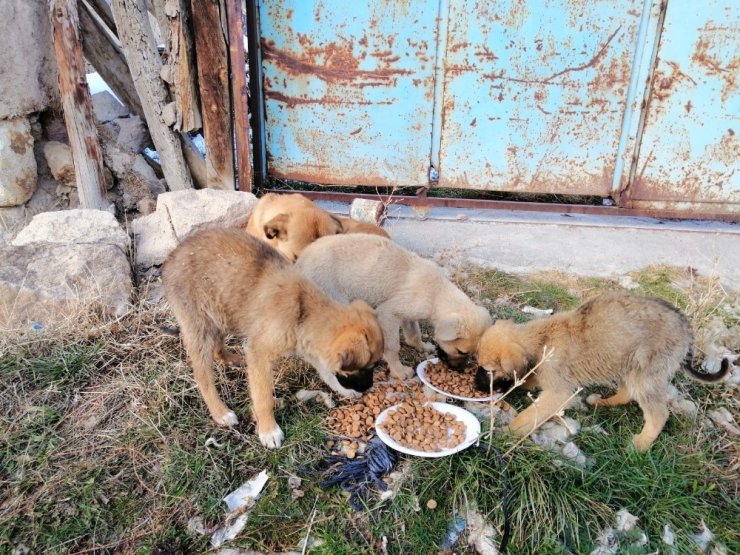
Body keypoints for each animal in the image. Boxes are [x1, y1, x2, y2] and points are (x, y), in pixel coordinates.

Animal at [161, 228, 382, 450]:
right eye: (368, 366)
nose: (369, 388)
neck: (303, 312)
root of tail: (172, 255)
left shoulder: (311, 349)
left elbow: (327, 372)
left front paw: (343, 390)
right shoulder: (261, 354)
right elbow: (263, 397)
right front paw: (268, 430)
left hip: (222, 313)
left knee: (217, 349)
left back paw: (235, 359)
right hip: (201, 326)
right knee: (202, 375)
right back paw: (220, 412)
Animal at [294, 232, 492, 380]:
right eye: (460, 351)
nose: (459, 371)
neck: (437, 293)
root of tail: (300, 263)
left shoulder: (407, 315)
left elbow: (414, 334)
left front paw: (422, 347)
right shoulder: (388, 314)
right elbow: (392, 347)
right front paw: (399, 371)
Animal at [476, 292, 732, 452]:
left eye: (488, 371)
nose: (476, 386)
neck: (542, 339)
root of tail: (685, 327)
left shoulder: (557, 392)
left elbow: (528, 416)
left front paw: (506, 431)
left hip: (645, 372)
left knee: (658, 413)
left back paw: (641, 445)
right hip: (628, 364)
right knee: (627, 393)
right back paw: (603, 402)